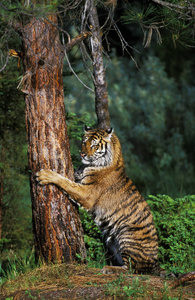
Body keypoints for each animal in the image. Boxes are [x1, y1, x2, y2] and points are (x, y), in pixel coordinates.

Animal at [36, 126, 158, 274]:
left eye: (94, 145)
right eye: (84, 142)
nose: (82, 154)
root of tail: (155, 263)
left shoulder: (87, 194)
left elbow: (66, 182)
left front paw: (45, 175)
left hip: (127, 234)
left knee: (131, 269)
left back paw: (107, 268)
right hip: (112, 243)